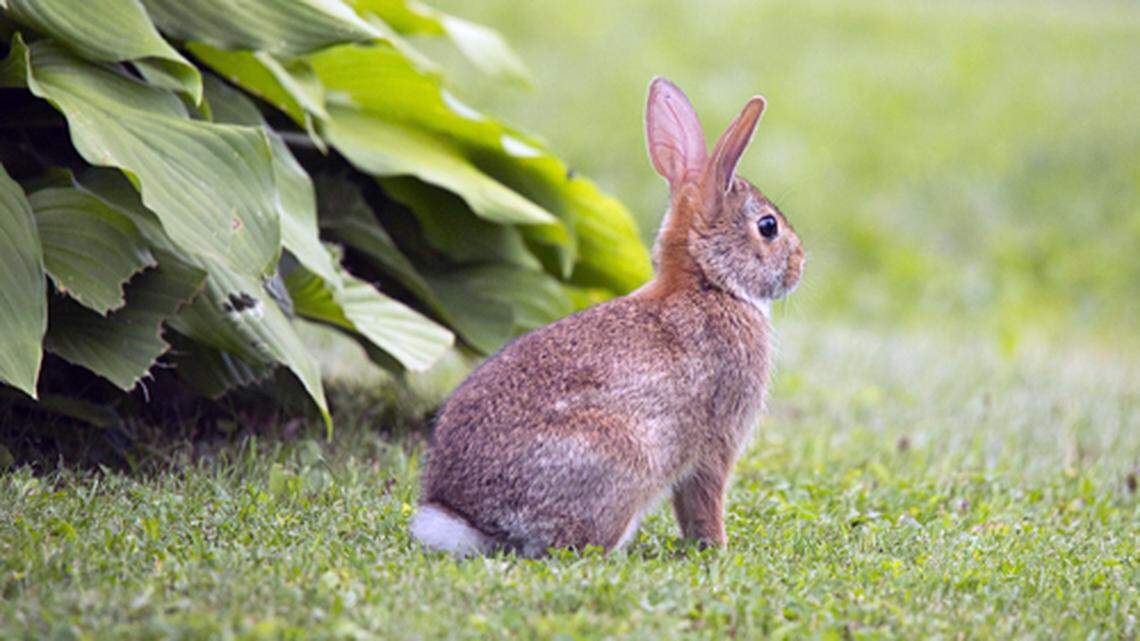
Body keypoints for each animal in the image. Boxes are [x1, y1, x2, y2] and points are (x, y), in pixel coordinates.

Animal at [411, 77, 804, 558]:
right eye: (768, 227)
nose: (800, 265)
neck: (709, 283)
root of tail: (467, 519)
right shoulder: (718, 439)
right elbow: (704, 499)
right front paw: (717, 547)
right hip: (623, 459)